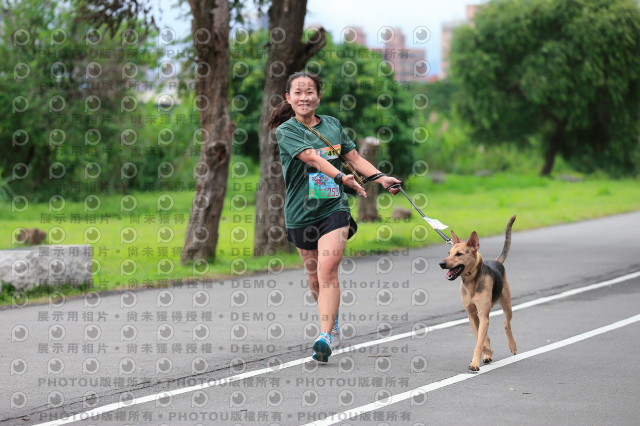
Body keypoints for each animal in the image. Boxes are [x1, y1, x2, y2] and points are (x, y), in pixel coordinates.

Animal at [438, 215, 516, 372]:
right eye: (448, 253)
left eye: (459, 254)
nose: (441, 264)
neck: (471, 282)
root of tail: (497, 262)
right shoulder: (472, 316)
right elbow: (478, 338)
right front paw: (487, 352)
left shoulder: (483, 314)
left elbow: (479, 342)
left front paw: (475, 362)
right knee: (487, 335)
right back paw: (487, 355)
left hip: (507, 304)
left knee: (507, 324)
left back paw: (512, 346)